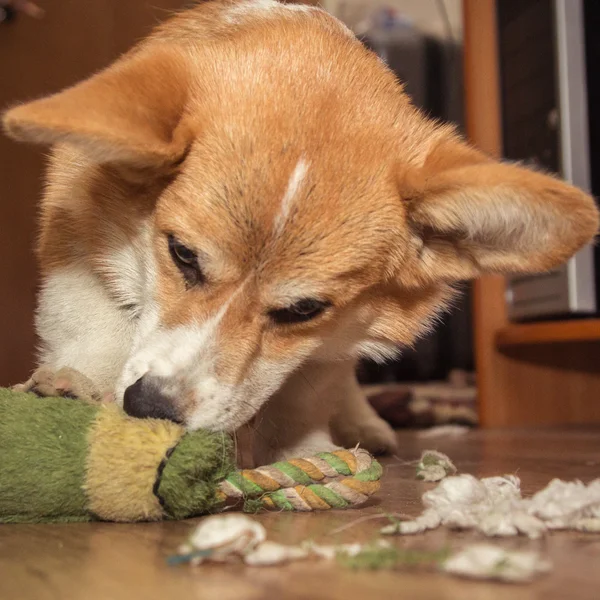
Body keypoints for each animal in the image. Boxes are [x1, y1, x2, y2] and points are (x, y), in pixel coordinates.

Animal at [3, 0, 596, 464]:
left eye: (303, 310)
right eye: (182, 255)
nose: (152, 408)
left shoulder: (332, 340)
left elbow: (306, 393)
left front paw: (299, 454)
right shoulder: (77, 251)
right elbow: (96, 329)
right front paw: (74, 389)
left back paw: (365, 425)